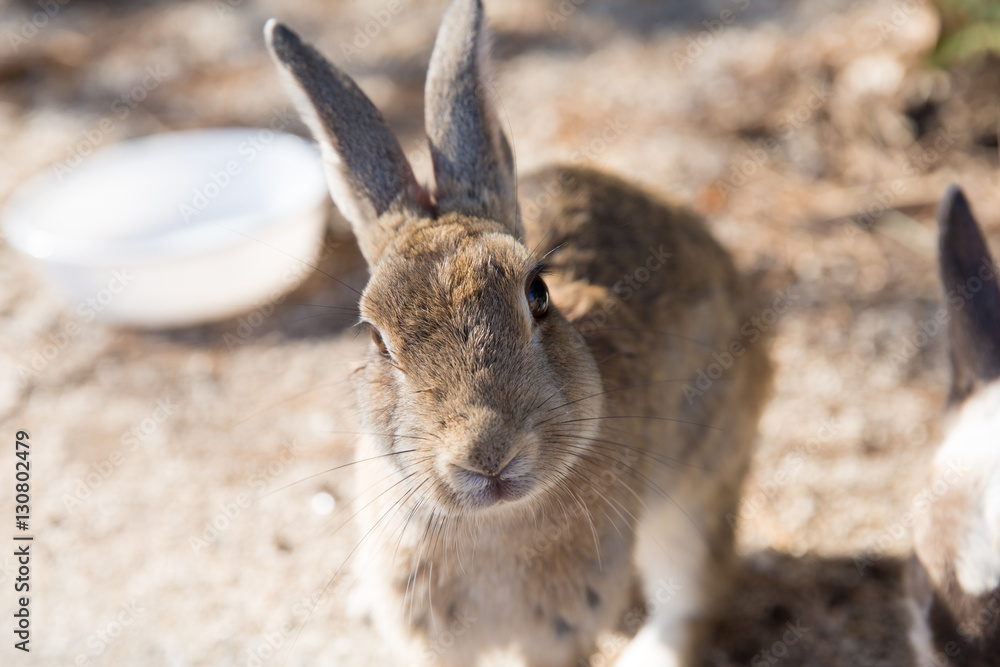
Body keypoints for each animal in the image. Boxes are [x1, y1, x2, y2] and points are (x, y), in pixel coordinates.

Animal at [264, 0, 771, 664]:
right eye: (375, 338)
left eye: (538, 294)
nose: (487, 456)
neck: (492, 523)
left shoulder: (561, 628)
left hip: (696, 486)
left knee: (693, 593)